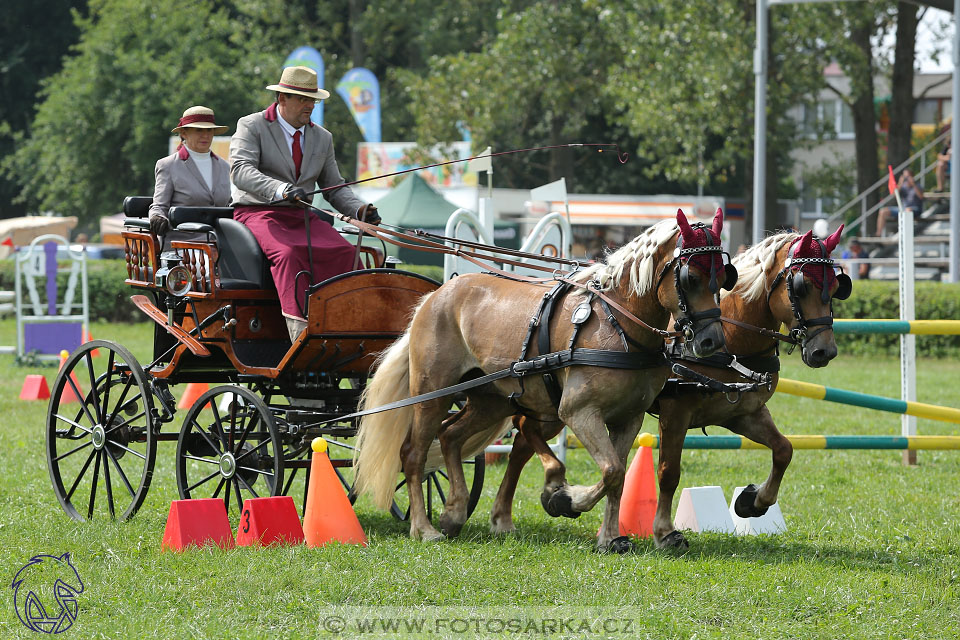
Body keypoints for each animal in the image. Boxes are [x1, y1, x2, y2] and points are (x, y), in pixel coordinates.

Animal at [492, 225, 852, 552]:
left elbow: (783, 450)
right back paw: (542, 496)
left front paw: (753, 501)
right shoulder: (675, 413)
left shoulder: (742, 413)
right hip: (555, 403)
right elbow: (668, 472)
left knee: (522, 442)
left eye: (837, 286)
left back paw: (514, 510)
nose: (825, 351)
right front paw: (665, 534)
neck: (730, 339)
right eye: (802, 286)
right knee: (524, 433)